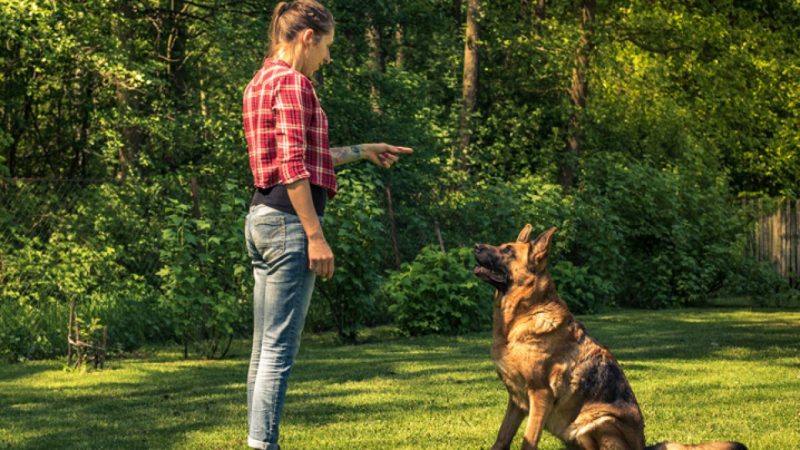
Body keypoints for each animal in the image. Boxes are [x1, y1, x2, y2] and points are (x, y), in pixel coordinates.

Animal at [472, 227, 748, 450]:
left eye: (507, 250)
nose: (475, 246)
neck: (519, 317)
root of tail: (643, 448)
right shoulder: (517, 402)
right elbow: (502, 438)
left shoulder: (540, 396)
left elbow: (528, 442)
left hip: (596, 422)